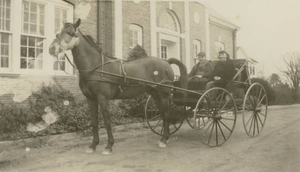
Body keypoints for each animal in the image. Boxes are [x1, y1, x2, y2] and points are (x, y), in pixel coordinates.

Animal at [48, 19, 186, 155]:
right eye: (58, 32)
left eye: (70, 32)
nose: (51, 49)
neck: (95, 67)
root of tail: (166, 62)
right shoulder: (91, 99)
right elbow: (94, 122)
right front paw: (93, 145)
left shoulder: (103, 99)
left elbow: (107, 122)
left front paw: (108, 146)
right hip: (156, 94)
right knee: (163, 114)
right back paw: (163, 138)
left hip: (163, 94)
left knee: (167, 114)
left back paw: (164, 139)